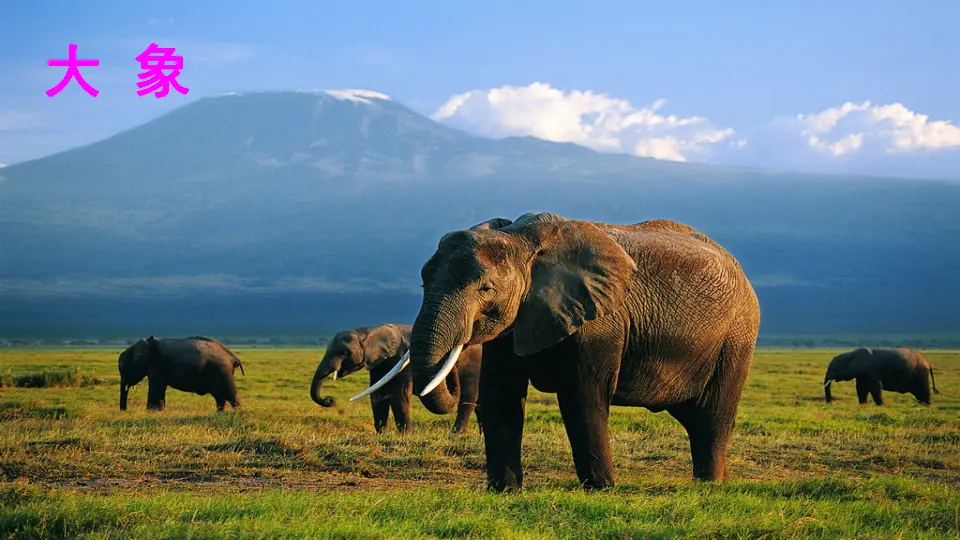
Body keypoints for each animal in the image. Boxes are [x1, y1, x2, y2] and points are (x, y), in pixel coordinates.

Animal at [310, 323, 483, 434]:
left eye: (343, 353)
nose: (330, 399)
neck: (367, 331)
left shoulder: (398, 359)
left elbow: (398, 394)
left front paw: (405, 435)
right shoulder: (379, 363)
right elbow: (378, 394)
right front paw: (381, 434)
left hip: (473, 366)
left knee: (468, 399)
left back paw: (456, 434)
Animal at [354, 212, 761, 491]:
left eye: (486, 289)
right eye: (423, 280)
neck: (521, 240)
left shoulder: (600, 321)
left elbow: (582, 398)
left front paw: (601, 490)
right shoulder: (512, 325)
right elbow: (502, 397)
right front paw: (503, 491)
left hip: (737, 336)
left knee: (712, 416)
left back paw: (710, 484)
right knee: (694, 418)